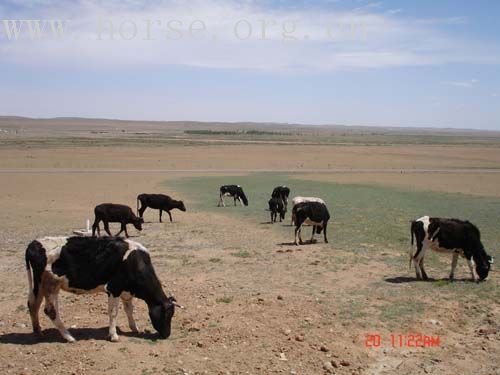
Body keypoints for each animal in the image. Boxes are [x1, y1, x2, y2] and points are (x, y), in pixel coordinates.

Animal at [24, 238, 182, 344]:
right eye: (167, 315)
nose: (167, 334)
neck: (135, 262)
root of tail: (34, 243)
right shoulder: (114, 288)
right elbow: (114, 313)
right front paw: (113, 335)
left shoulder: (126, 292)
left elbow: (129, 310)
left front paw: (134, 327)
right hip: (51, 285)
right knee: (50, 311)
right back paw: (69, 337)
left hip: (40, 286)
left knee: (33, 305)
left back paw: (38, 332)